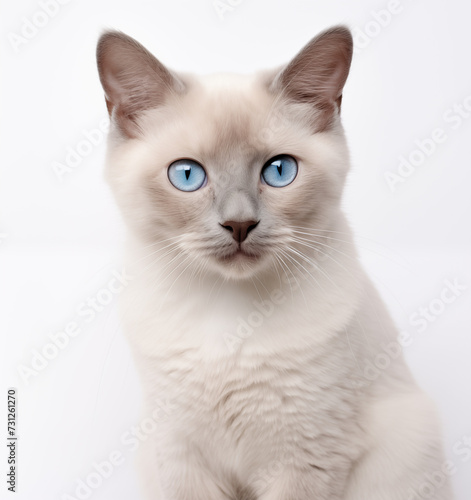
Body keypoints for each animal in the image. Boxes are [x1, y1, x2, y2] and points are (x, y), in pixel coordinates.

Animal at [96, 26, 454, 500]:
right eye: (187, 175)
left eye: (279, 171)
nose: (239, 224)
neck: (228, 317)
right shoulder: (180, 454)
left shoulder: (304, 457)